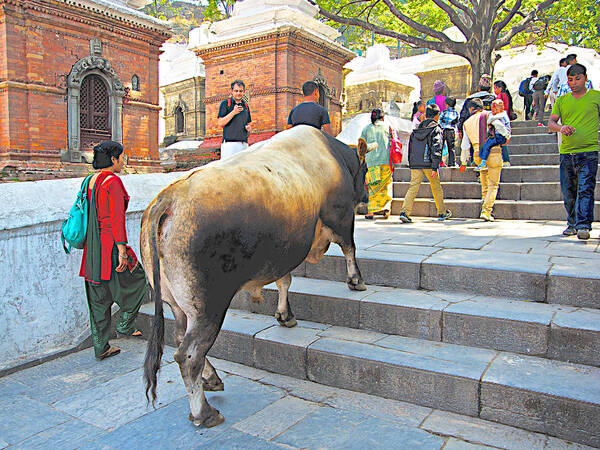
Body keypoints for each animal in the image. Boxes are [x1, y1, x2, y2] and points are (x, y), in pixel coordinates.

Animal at [143, 125, 372, 428]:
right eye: (366, 169)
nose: (367, 199)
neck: (334, 157)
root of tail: (168, 197)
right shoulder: (341, 217)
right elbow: (349, 248)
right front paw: (356, 281)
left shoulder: (286, 248)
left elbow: (285, 281)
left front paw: (285, 315)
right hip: (208, 307)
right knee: (188, 354)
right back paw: (204, 412)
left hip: (177, 303)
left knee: (180, 335)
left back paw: (212, 379)